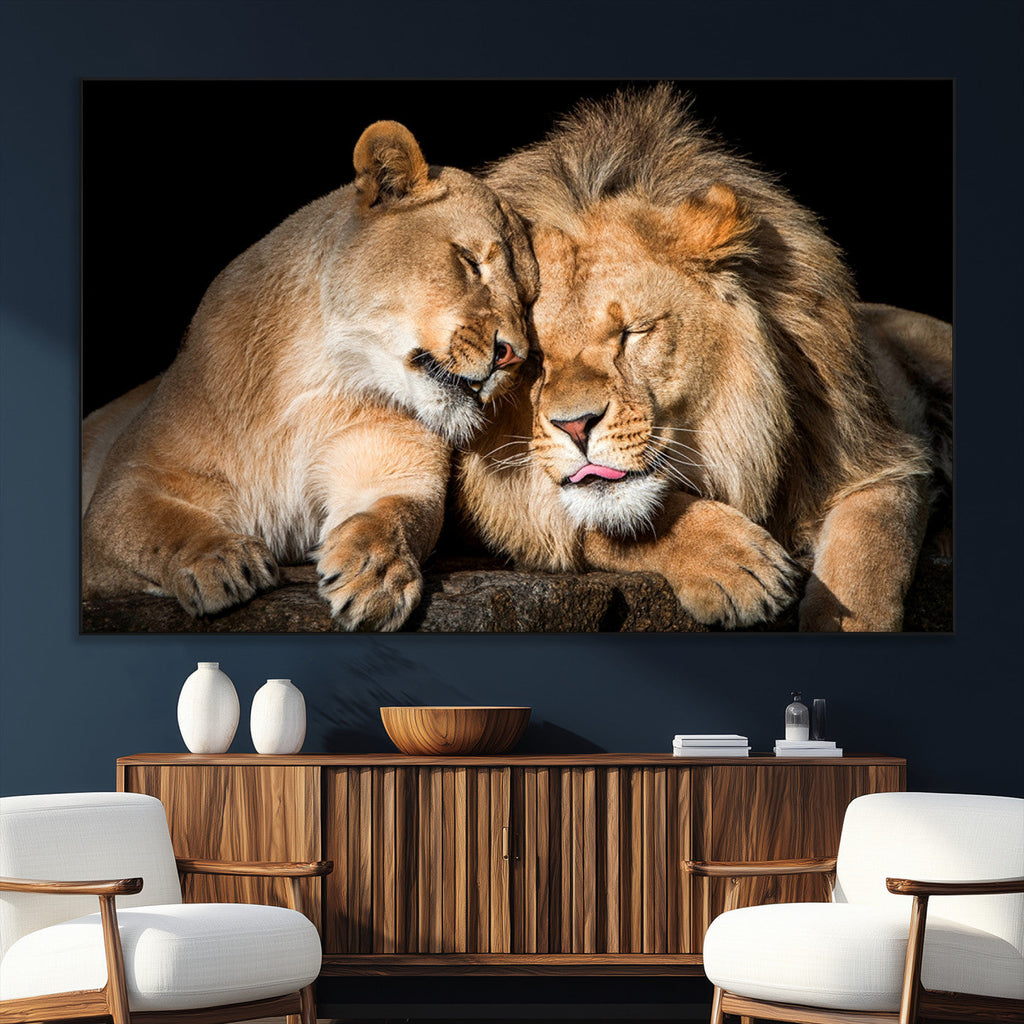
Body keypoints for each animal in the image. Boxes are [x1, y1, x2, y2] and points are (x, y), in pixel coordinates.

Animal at [82, 120, 538, 631]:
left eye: (528, 300)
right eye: (469, 261)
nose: (512, 356)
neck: (318, 381)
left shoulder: (396, 470)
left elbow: (394, 517)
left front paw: (376, 574)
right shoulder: (125, 485)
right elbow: (157, 524)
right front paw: (220, 560)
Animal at [456, 86, 952, 631]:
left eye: (634, 332)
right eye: (534, 357)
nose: (576, 427)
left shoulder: (880, 458)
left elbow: (867, 563)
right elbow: (612, 519)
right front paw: (736, 564)